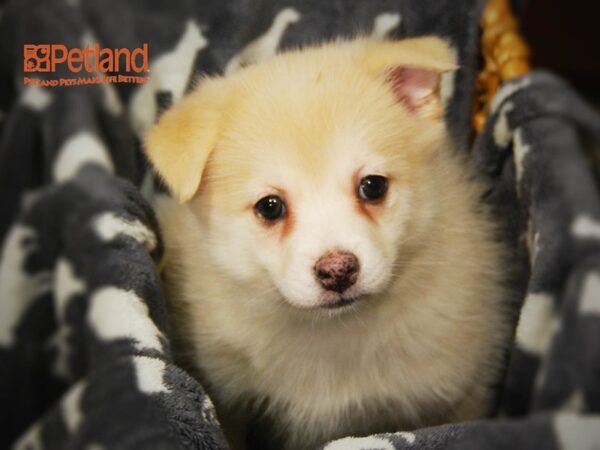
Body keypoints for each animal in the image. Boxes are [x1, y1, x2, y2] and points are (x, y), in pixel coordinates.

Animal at [146, 37, 510, 450]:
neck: (332, 331)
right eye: (270, 206)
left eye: (373, 186)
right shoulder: (229, 398)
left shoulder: (459, 393)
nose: (338, 271)